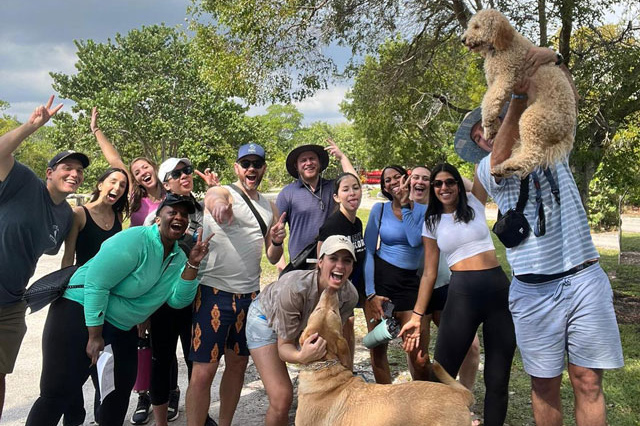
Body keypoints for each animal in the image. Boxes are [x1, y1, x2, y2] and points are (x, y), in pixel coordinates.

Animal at [462, 9, 576, 177]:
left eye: (477, 26)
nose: (462, 40)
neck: (498, 49)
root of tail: (567, 130)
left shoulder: (505, 77)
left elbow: (489, 100)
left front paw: (487, 121)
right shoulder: (495, 83)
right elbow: (492, 102)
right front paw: (491, 129)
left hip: (532, 119)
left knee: (533, 154)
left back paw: (511, 166)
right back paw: (503, 168)